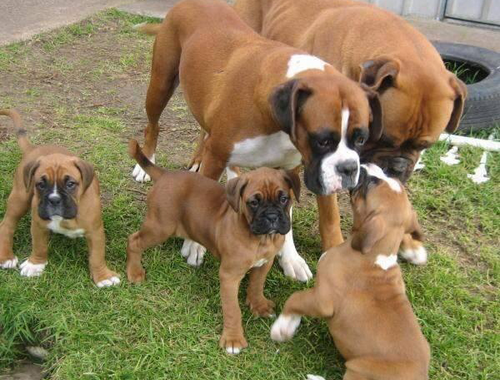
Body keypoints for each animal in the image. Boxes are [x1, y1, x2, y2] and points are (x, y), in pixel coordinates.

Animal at [0, 110, 120, 288]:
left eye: (70, 184)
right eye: (40, 184)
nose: (54, 199)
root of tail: (33, 149)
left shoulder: (95, 231)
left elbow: (97, 256)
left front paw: (103, 276)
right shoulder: (38, 224)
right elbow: (39, 245)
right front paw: (35, 264)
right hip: (20, 199)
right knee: (6, 225)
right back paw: (6, 256)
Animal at [130, 0, 382, 282]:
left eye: (361, 139)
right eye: (322, 141)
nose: (349, 168)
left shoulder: (289, 170)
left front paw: (291, 258)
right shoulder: (216, 155)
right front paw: (194, 246)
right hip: (160, 84)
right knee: (153, 125)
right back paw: (145, 165)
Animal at [270, 165, 430, 380]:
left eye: (371, 183)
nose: (366, 165)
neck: (375, 256)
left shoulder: (322, 300)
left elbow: (295, 298)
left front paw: (282, 327)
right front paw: (291, 324)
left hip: (359, 369)